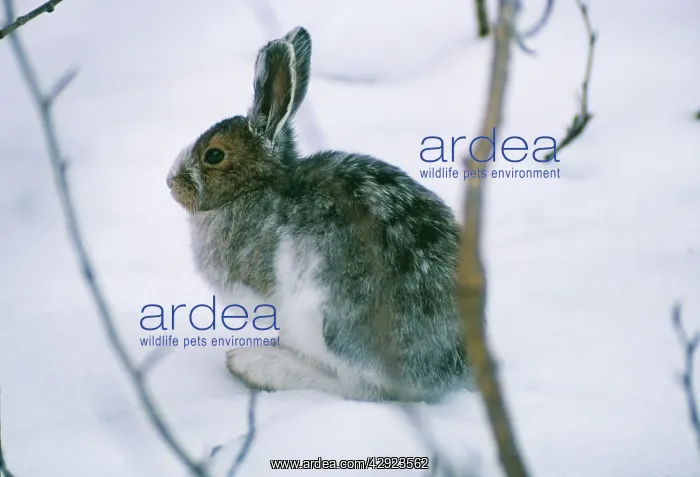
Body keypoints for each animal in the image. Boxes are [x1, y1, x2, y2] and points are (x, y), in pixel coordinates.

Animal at [166, 26, 472, 402]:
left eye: (214, 155)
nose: (171, 183)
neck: (254, 188)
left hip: (319, 317)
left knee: (360, 389)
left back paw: (255, 364)